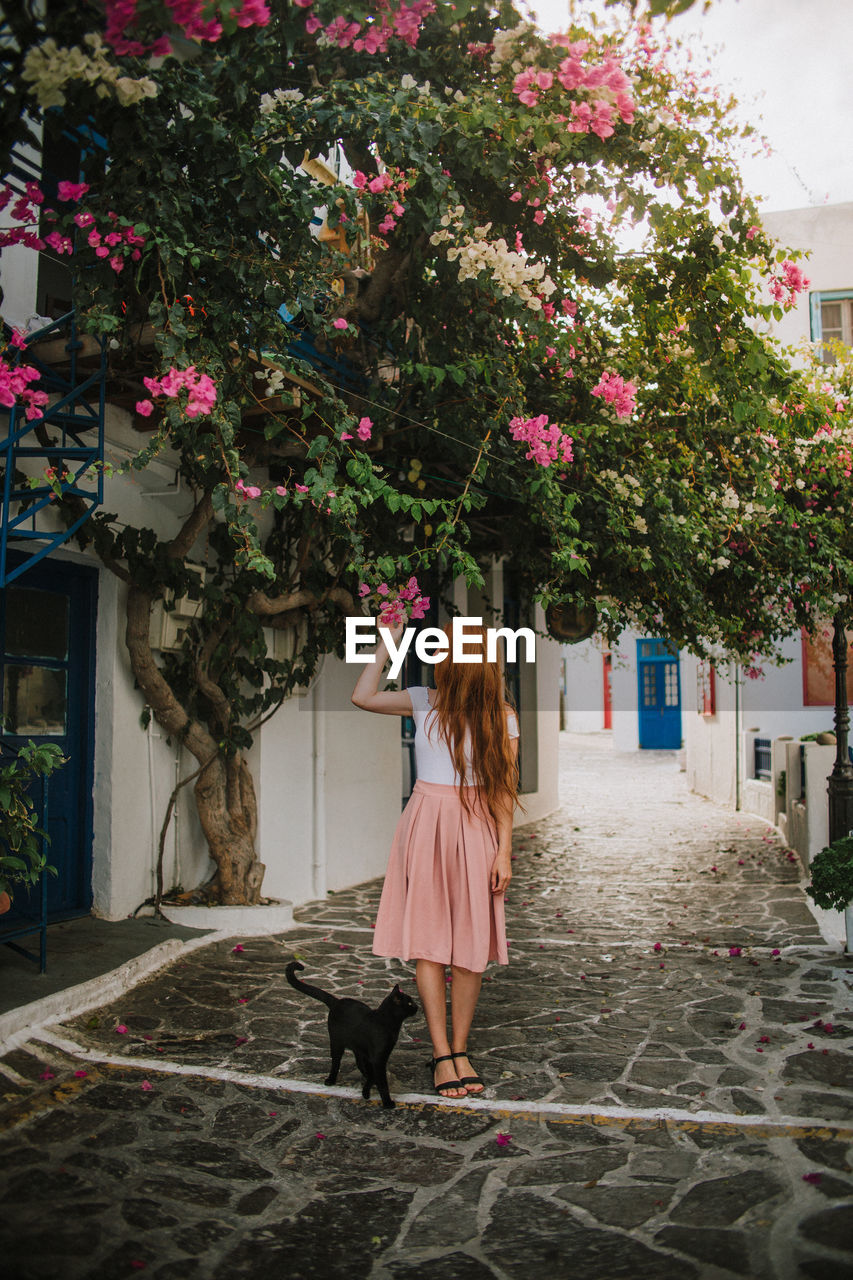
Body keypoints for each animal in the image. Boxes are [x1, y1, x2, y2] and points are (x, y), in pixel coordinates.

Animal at [285, 962, 417, 1111]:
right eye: (410, 1003)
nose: (418, 1006)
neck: (387, 1023)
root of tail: (337, 1001)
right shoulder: (378, 1058)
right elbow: (382, 1083)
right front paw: (387, 1102)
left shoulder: (374, 1056)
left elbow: (373, 1075)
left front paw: (366, 1090)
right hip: (336, 1042)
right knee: (336, 1062)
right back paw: (330, 1080)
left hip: (358, 1047)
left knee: (359, 1064)